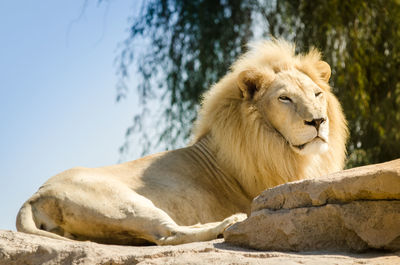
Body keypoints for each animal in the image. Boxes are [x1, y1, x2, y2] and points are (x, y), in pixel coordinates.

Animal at [15, 39, 346, 245]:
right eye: (284, 99)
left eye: (317, 94)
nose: (318, 121)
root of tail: (35, 196)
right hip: (124, 202)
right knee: (166, 235)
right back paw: (227, 223)